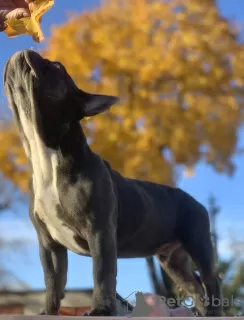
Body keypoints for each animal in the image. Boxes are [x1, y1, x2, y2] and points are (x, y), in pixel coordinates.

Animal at [3, 50, 222, 316]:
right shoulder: (48, 242)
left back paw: (215, 313)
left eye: (57, 66)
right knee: (195, 285)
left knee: (210, 280)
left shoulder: (99, 230)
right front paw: (48, 312)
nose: (30, 51)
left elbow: (102, 273)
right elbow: (52, 280)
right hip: (174, 261)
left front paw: (101, 310)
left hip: (198, 242)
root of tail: (198, 203)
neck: (47, 156)